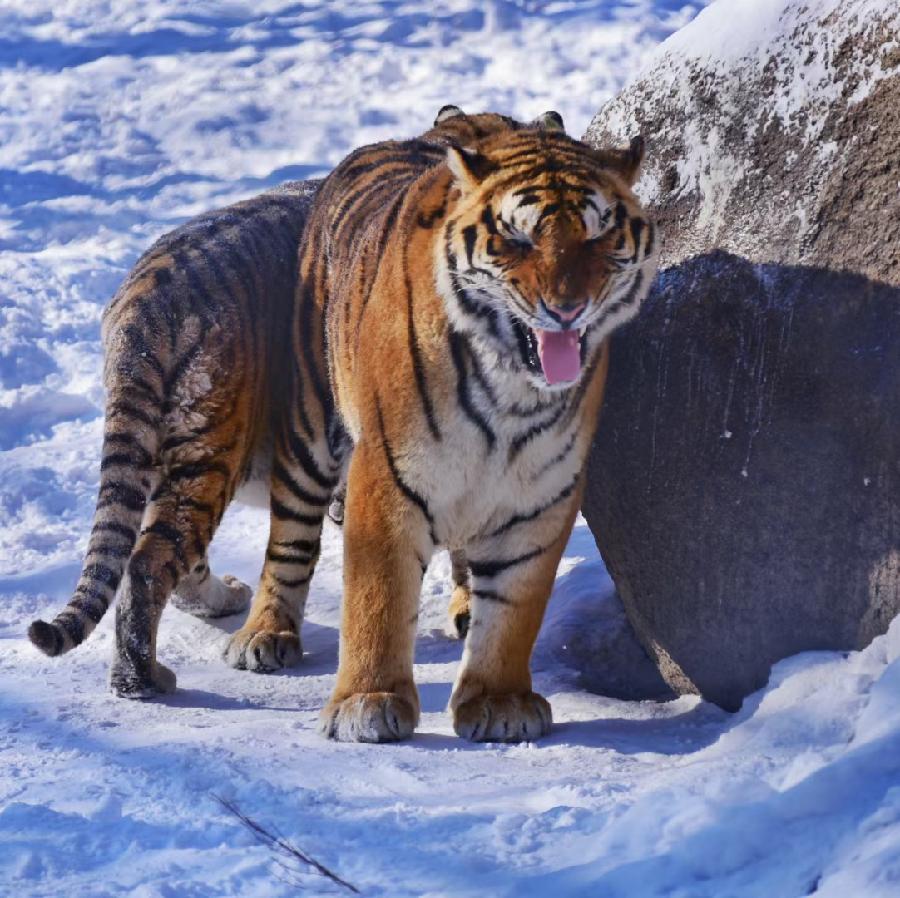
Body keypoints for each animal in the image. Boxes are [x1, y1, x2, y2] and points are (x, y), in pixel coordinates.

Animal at [26, 108, 536, 697]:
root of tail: (147, 300)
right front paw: (466, 608)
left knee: (165, 556)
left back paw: (222, 603)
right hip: (212, 448)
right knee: (151, 562)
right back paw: (144, 679)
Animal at [223, 105, 658, 743]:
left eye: (598, 234)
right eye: (519, 237)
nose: (567, 308)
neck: (512, 394)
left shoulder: (543, 494)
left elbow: (515, 608)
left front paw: (499, 702)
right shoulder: (387, 474)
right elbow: (378, 598)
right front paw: (366, 704)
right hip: (311, 425)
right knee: (291, 536)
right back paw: (264, 634)